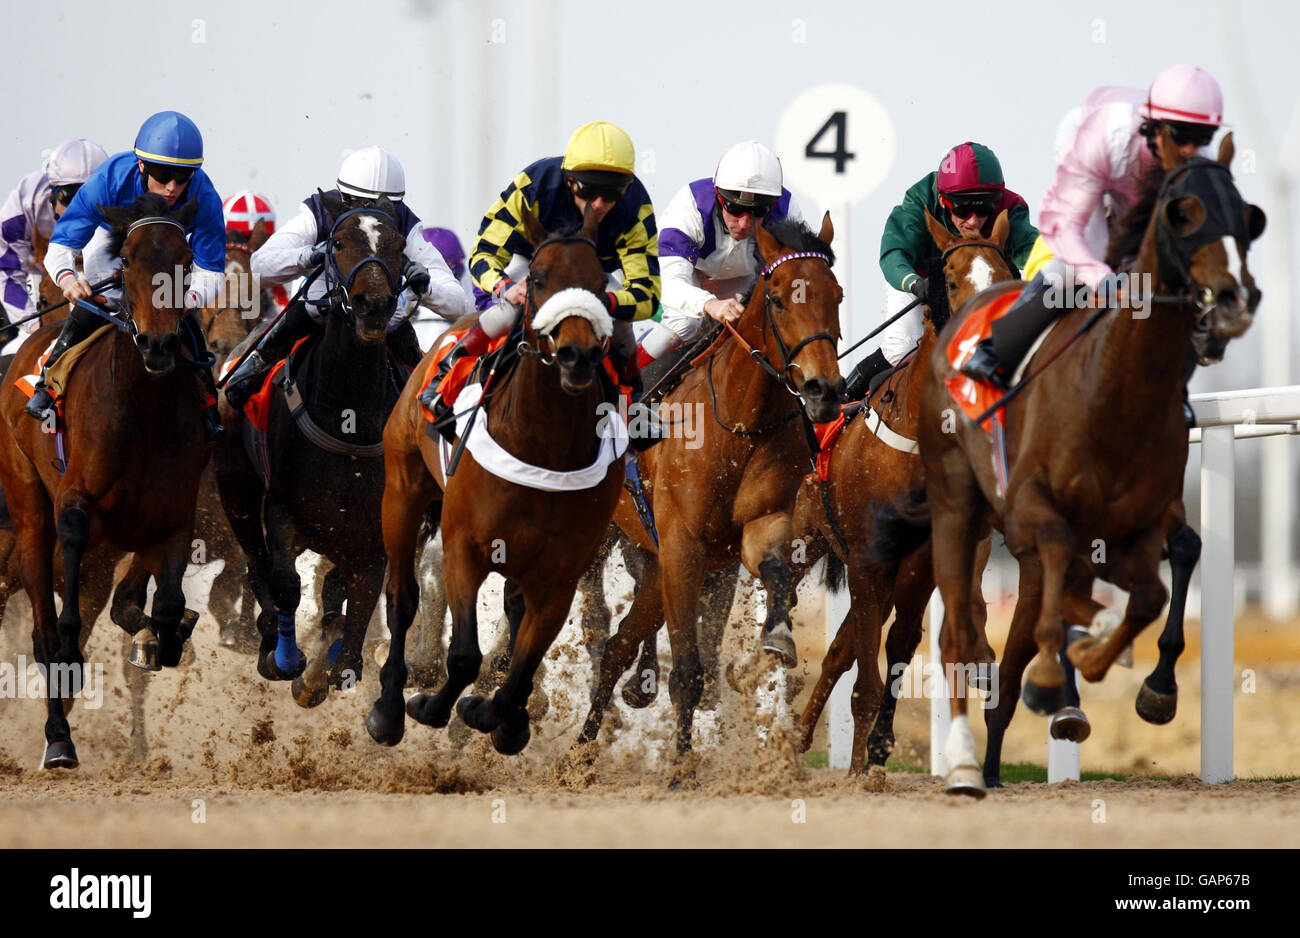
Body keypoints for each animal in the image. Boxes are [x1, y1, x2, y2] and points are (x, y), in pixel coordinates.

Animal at [0, 189, 208, 769]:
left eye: (185, 260)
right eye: (129, 261)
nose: (158, 346)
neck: (145, 412)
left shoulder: (173, 519)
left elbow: (165, 607)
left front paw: (164, 635)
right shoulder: (76, 507)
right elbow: (63, 629)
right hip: (28, 516)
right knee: (44, 632)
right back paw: (58, 739)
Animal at [215, 201, 405, 706]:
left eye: (400, 245)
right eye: (336, 243)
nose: (374, 305)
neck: (348, 421)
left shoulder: (374, 534)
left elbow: (360, 605)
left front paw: (332, 666)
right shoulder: (283, 512)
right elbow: (284, 582)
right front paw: (285, 660)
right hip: (236, 490)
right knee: (257, 564)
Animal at [366, 206, 624, 753]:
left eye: (601, 284)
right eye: (540, 279)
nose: (578, 356)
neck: (542, 446)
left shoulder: (560, 576)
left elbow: (521, 670)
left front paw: (497, 716)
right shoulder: (465, 546)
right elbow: (464, 655)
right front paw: (430, 705)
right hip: (402, 489)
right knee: (401, 596)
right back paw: (389, 708)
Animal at [577, 215, 842, 758]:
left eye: (838, 295)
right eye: (778, 299)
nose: (824, 391)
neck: (740, 423)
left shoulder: (755, 527)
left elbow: (776, 571)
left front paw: (778, 638)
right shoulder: (683, 546)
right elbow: (687, 673)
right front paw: (682, 766)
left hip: (653, 562)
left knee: (617, 647)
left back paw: (581, 752)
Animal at [889, 127, 1263, 795]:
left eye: (1247, 218)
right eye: (944, 277)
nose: (1228, 303)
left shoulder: (1143, 512)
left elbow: (1179, 556)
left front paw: (1153, 688)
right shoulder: (1032, 512)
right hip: (964, 510)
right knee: (967, 620)